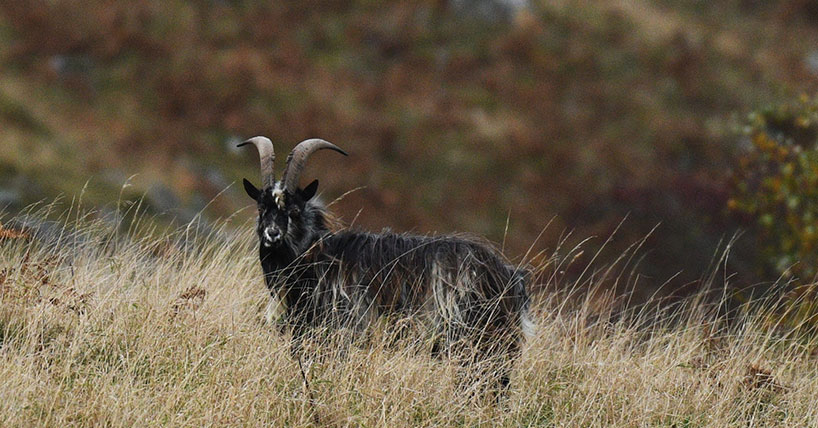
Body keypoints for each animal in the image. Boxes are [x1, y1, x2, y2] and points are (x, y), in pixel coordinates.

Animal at [239, 136, 534, 395]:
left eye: (294, 210)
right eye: (261, 208)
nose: (272, 234)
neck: (317, 257)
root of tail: (510, 277)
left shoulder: (342, 333)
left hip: (478, 343)